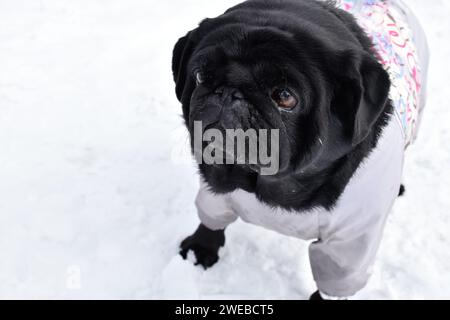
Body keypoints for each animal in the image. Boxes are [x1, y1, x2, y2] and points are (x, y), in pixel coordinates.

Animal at [172, 0, 428, 300]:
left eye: (285, 97)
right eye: (201, 75)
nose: (229, 92)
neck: (272, 186)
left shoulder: (350, 242)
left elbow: (335, 279)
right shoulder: (216, 188)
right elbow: (212, 217)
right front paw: (200, 248)